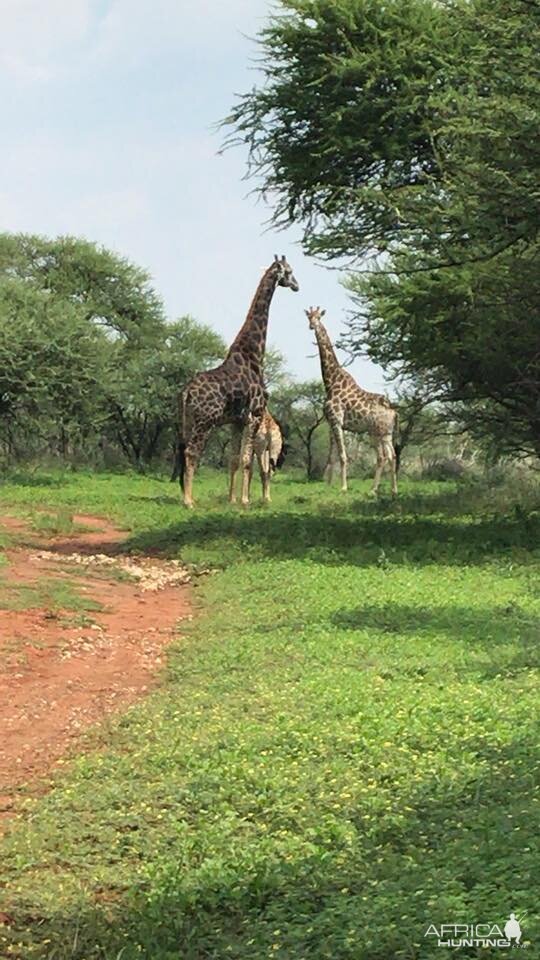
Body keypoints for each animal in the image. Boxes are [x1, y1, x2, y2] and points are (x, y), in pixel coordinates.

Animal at [177, 255, 298, 510]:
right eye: (290, 271)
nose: (296, 286)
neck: (254, 355)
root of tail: (187, 392)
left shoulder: (236, 422)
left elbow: (233, 459)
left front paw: (232, 499)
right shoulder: (254, 415)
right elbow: (246, 461)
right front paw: (244, 501)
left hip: (188, 420)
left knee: (184, 450)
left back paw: (188, 495)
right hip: (205, 422)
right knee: (192, 452)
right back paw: (188, 501)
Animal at [306, 308, 398, 498]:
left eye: (318, 317)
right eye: (309, 317)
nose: (312, 326)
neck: (331, 381)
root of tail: (394, 413)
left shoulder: (337, 421)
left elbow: (342, 455)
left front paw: (343, 487)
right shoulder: (331, 422)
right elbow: (332, 456)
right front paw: (328, 485)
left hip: (381, 433)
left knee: (387, 456)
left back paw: (381, 490)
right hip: (380, 433)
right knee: (387, 456)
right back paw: (386, 490)